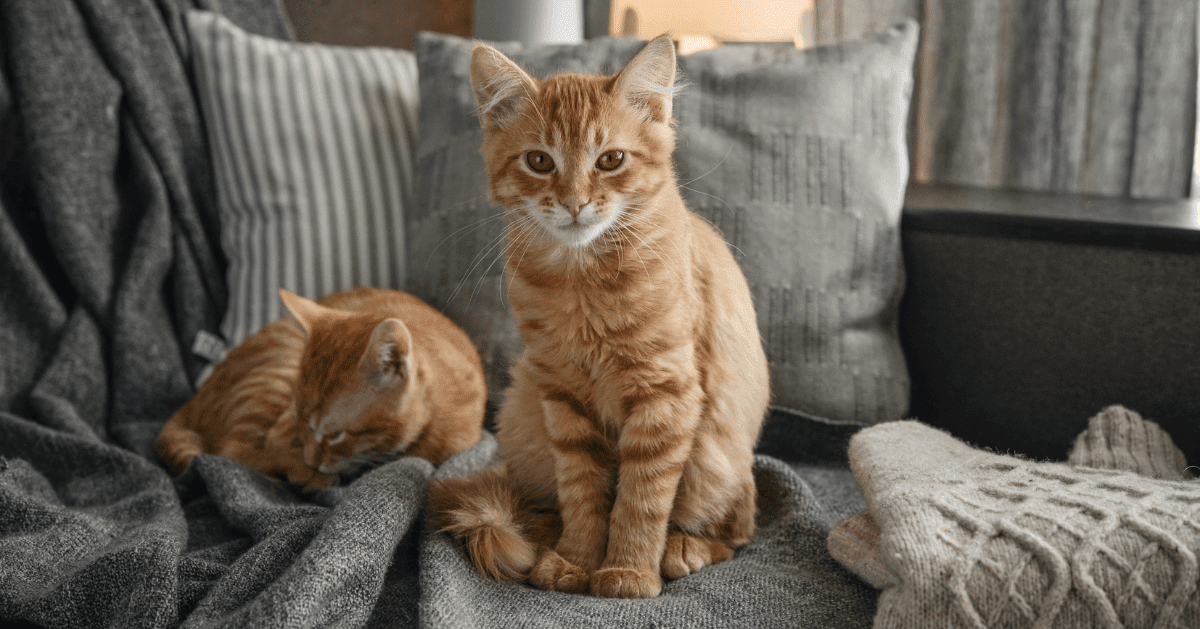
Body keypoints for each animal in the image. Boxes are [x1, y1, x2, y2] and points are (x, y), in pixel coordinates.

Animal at [159, 286, 487, 489]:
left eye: (334, 435)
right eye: (301, 421)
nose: (310, 460)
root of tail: (190, 403)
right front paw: (304, 468)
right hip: (278, 372)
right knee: (232, 454)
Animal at [432, 36, 768, 597]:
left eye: (611, 160)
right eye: (539, 161)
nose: (574, 203)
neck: (582, 284)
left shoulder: (666, 392)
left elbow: (640, 499)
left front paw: (628, 571)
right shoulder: (562, 395)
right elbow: (582, 493)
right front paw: (575, 560)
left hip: (715, 459)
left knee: (739, 531)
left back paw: (682, 549)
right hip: (524, 413)